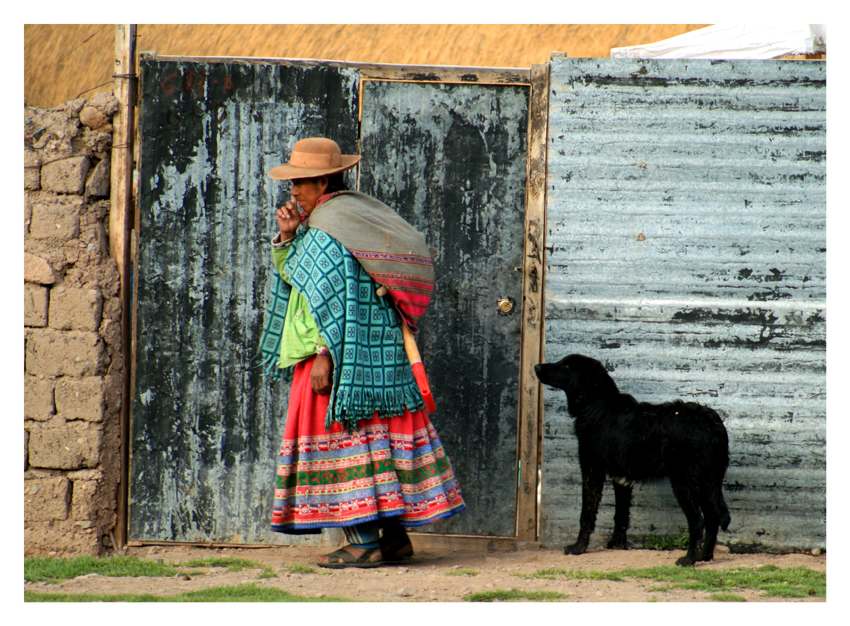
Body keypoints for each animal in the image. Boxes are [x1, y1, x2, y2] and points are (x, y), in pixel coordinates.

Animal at [536, 354, 728, 564]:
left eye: (566, 366)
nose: (536, 367)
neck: (596, 401)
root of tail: (710, 422)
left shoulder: (592, 470)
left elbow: (586, 513)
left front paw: (578, 547)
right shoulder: (621, 478)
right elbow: (621, 514)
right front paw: (617, 544)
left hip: (684, 482)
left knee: (697, 521)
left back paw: (689, 559)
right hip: (707, 481)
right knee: (712, 518)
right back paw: (705, 556)